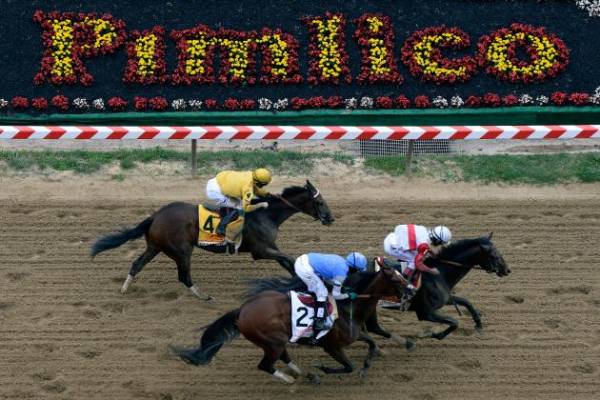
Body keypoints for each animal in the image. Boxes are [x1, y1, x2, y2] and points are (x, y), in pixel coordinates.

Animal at [90, 181, 332, 300]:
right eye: (320, 202)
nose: (331, 218)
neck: (267, 214)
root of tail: (155, 216)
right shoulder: (261, 250)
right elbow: (289, 258)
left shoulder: (271, 247)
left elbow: (288, 262)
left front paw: (302, 283)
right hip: (181, 250)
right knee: (183, 276)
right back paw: (203, 296)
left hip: (155, 246)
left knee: (137, 264)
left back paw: (124, 289)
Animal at [172, 264, 408, 382]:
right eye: (397, 279)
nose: (411, 291)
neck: (348, 306)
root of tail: (242, 311)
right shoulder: (332, 346)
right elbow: (348, 366)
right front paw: (323, 367)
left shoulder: (354, 334)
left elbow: (372, 343)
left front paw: (367, 366)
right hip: (273, 341)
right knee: (266, 365)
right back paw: (293, 380)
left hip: (275, 341)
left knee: (282, 357)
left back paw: (306, 375)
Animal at [366, 234, 510, 344]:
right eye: (494, 254)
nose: (507, 270)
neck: (439, 274)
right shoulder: (426, 313)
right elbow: (454, 322)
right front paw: (433, 335)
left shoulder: (445, 298)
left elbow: (466, 302)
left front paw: (479, 325)